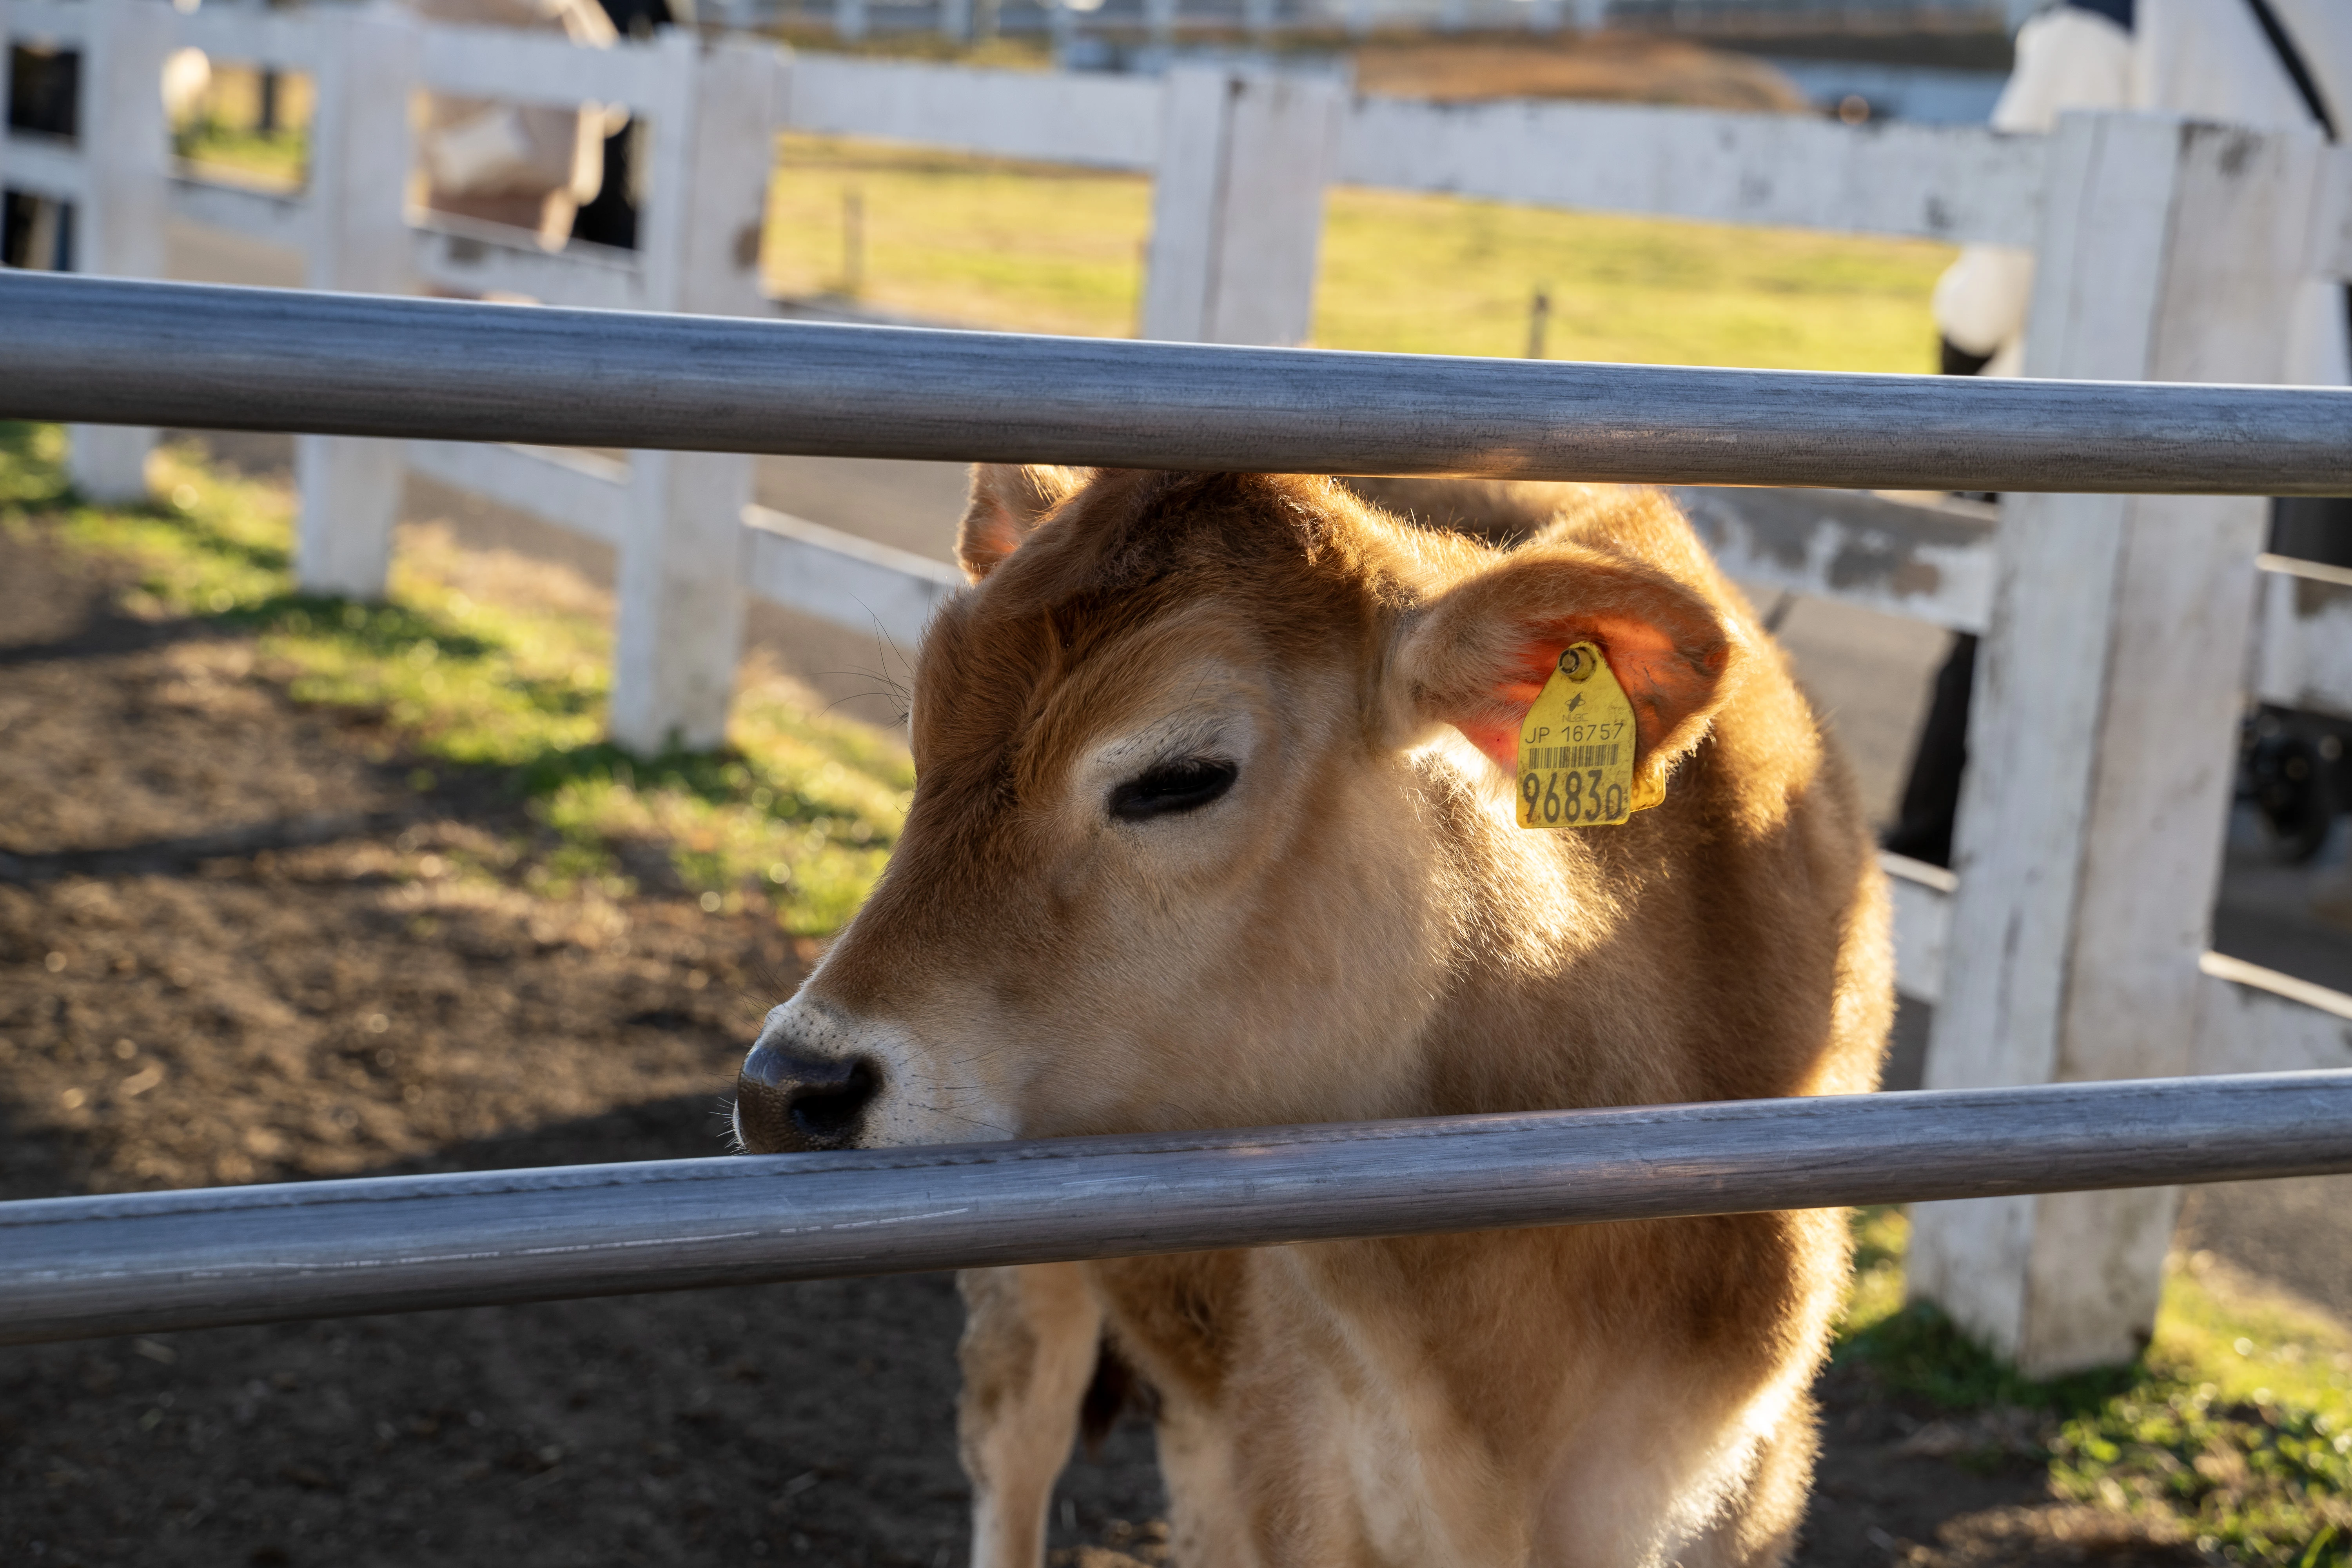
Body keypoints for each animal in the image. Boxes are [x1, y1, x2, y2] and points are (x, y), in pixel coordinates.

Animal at [733, 466, 1893, 1568]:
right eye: (922, 729)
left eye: (1181, 777)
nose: (792, 1084)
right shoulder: (1299, 1452)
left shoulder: (1739, 1485)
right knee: (1015, 1457)